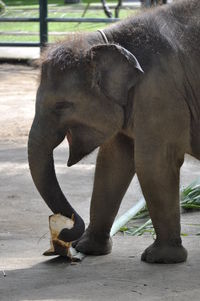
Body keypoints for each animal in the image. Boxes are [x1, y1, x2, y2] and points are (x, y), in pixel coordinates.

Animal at [28, 0, 200, 262]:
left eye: (61, 105)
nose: (67, 234)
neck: (108, 40)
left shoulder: (161, 92)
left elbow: (153, 164)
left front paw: (159, 258)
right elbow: (111, 164)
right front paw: (88, 248)